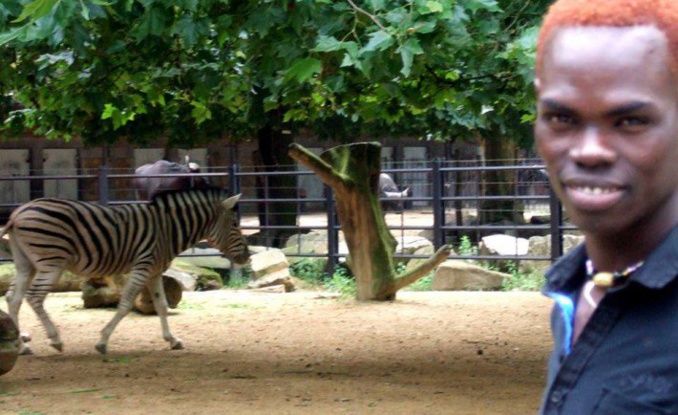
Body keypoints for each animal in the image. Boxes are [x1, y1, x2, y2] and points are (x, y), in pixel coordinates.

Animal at [0, 188, 250, 354]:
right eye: (235, 225)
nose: (247, 257)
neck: (167, 229)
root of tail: (18, 213)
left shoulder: (155, 271)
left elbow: (161, 305)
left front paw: (172, 340)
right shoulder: (143, 266)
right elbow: (126, 303)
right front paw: (102, 342)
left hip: (26, 264)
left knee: (13, 297)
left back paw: (20, 346)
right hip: (51, 262)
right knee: (34, 297)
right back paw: (55, 340)